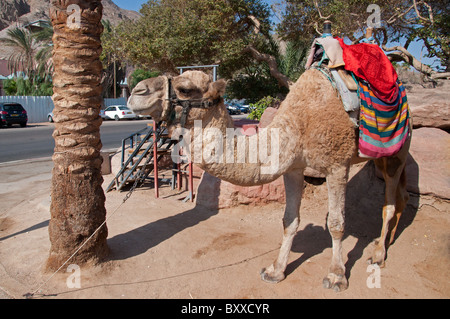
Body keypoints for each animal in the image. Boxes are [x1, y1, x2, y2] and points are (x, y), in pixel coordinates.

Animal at [126, 70, 412, 292]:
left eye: (185, 89)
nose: (136, 91)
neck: (299, 124)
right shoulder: (294, 168)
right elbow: (290, 220)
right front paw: (275, 271)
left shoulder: (337, 165)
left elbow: (336, 223)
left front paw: (336, 276)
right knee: (401, 196)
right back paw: (386, 242)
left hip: (398, 148)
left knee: (389, 200)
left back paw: (378, 255)